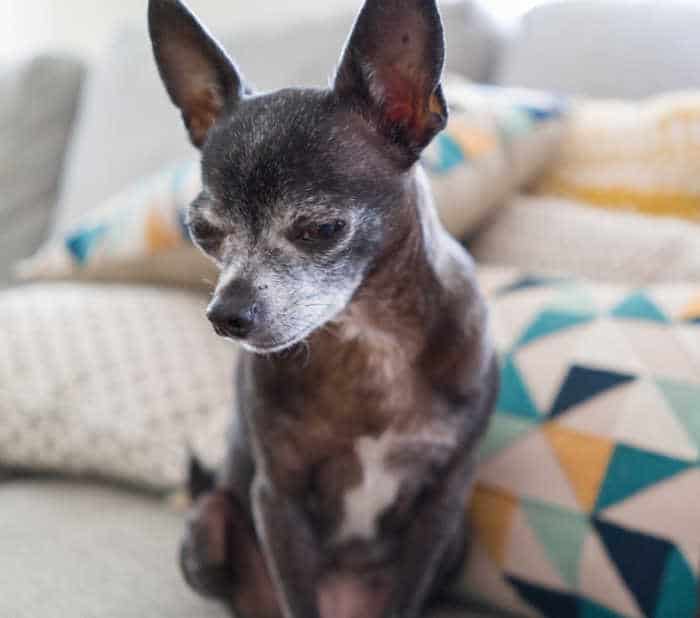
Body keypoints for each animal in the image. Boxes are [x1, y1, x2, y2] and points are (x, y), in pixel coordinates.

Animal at [149, 2, 498, 612]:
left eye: (321, 228)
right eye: (203, 232)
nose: (225, 314)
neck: (369, 335)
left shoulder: (441, 506)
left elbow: (407, 597)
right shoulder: (280, 500)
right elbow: (298, 598)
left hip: (459, 539)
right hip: (208, 526)